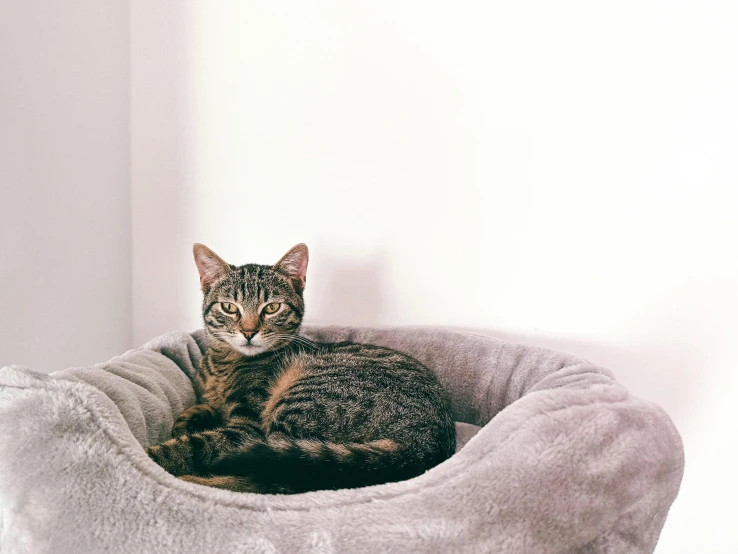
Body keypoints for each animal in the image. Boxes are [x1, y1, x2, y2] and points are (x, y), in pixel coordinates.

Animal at [144, 243, 454, 492]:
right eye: (229, 307)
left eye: (272, 308)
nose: (248, 332)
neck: (225, 363)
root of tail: (428, 440)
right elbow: (199, 410)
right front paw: (190, 420)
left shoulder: (244, 431)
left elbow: (189, 448)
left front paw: (155, 456)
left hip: (298, 407)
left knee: (275, 479)